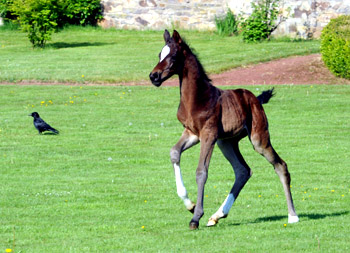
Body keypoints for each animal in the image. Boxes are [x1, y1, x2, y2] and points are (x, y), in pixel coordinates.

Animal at [148, 29, 298, 229]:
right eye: (159, 54)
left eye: (172, 56)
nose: (154, 76)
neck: (197, 97)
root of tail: (256, 99)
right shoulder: (192, 133)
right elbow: (174, 153)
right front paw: (190, 205)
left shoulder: (208, 135)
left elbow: (201, 172)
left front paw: (196, 217)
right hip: (226, 142)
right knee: (243, 171)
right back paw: (217, 215)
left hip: (258, 139)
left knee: (280, 165)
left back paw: (293, 215)